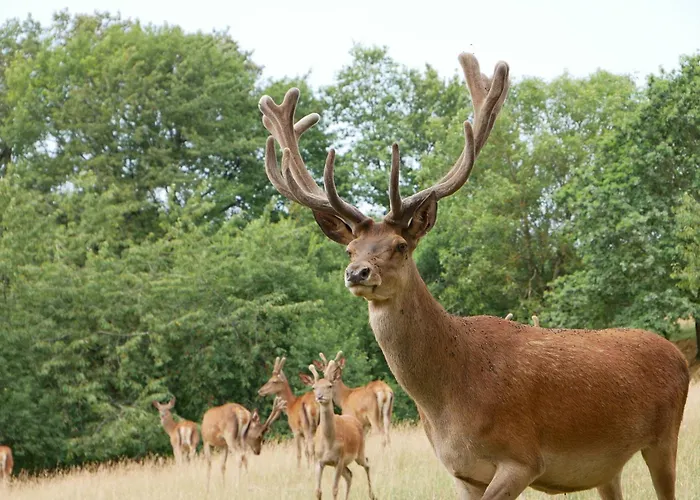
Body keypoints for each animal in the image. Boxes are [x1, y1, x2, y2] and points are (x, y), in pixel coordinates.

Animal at [308, 361, 376, 500]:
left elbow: (334, 489)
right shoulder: (319, 460)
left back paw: (372, 495)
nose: (319, 397)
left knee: (367, 463)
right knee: (349, 475)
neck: (328, 442)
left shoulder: (339, 459)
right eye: (314, 387)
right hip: (345, 463)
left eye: (329, 386)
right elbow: (318, 491)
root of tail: (354, 420)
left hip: (359, 452)